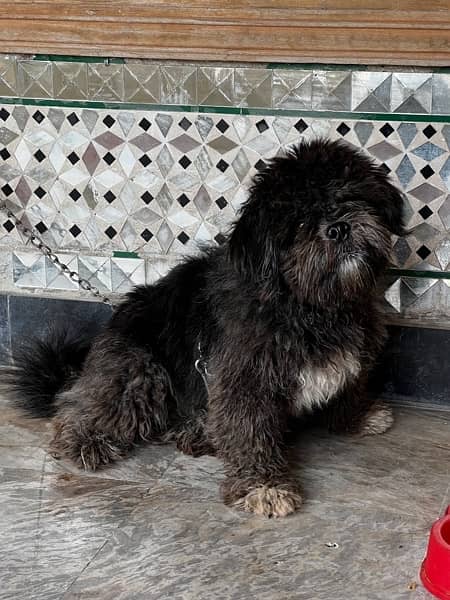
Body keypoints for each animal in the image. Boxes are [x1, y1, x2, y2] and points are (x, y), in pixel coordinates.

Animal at [7, 139, 404, 516]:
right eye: (298, 221)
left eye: (349, 195)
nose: (338, 228)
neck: (309, 305)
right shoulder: (245, 381)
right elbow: (250, 433)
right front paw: (264, 485)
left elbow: (350, 387)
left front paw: (358, 415)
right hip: (138, 367)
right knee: (80, 407)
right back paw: (84, 440)